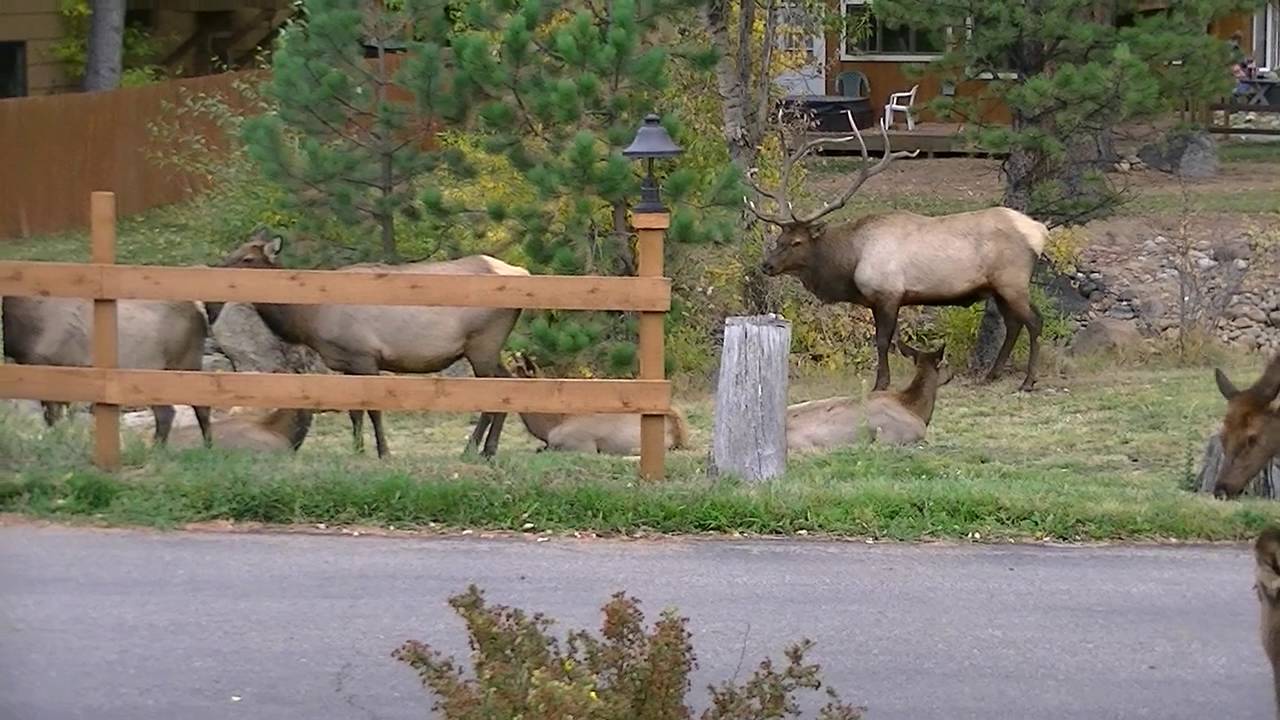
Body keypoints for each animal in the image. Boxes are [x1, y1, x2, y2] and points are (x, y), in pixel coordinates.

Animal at [210, 229, 528, 459]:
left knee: (495, 393)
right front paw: (358, 450)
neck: (308, 319)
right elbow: (354, 411)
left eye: (247, 259)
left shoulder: (364, 355)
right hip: (488, 348)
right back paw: (488, 450)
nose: (216, 271)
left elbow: (373, 409)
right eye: (233, 251)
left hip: (483, 343)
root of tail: (522, 273)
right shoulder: (346, 363)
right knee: (508, 386)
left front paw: (384, 452)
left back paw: (471, 450)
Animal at [745, 121, 1049, 393]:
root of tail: (1040, 231)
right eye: (779, 240)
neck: (850, 262)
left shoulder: (889, 294)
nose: (767, 265)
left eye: (797, 242)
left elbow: (882, 341)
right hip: (998, 287)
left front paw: (880, 384)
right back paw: (991, 375)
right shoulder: (876, 300)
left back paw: (1028, 381)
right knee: (1014, 324)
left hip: (1012, 281)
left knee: (1034, 321)